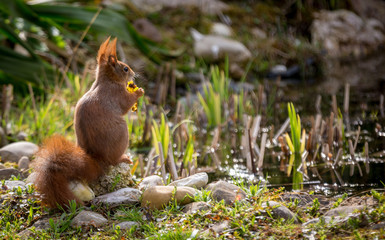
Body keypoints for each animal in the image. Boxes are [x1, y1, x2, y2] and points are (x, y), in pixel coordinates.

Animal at [32, 38, 144, 208]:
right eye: (125, 68)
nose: (133, 74)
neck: (107, 80)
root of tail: (98, 161)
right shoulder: (116, 94)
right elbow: (126, 103)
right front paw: (139, 91)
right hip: (122, 136)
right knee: (113, 161)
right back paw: (123, 158)